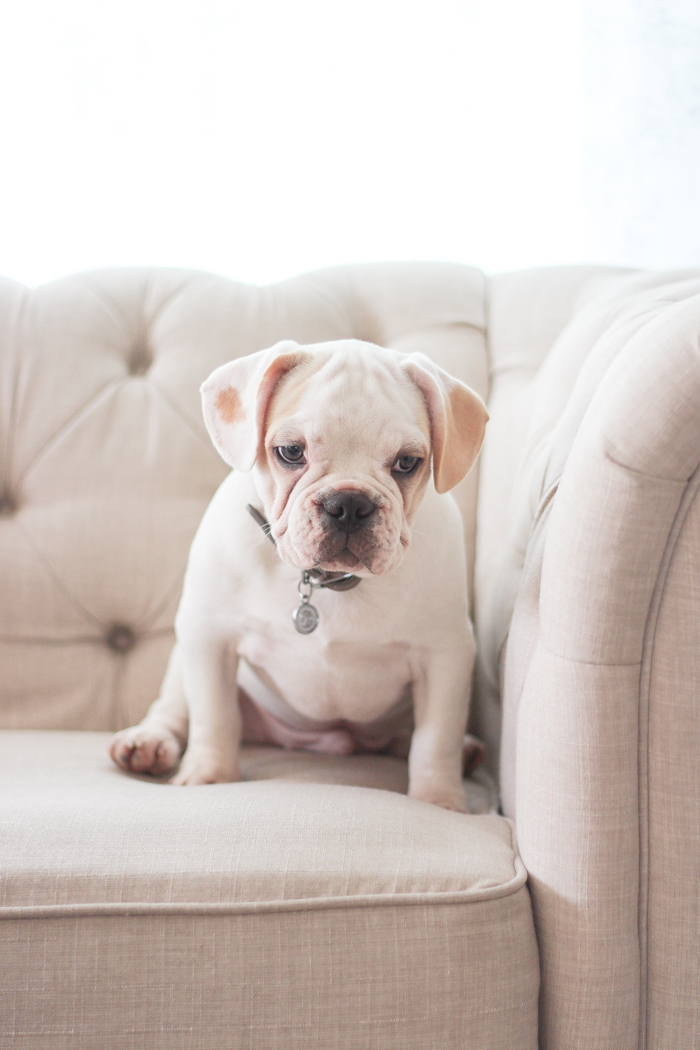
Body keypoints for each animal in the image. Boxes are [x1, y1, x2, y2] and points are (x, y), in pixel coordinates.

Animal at [112, 338, 491, 810]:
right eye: (291, 452)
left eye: (407, 462)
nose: (349, 504)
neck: (325, 579)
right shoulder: (209, 635)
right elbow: (214, 716)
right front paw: (209, 776)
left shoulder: (444, 654)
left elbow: (436, 738)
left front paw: (439, 800)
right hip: (183, 659)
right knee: (174, 708)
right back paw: (148, 743)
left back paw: (466, 751)